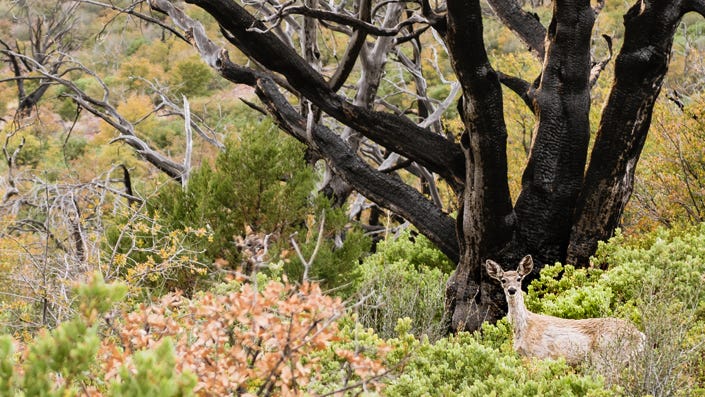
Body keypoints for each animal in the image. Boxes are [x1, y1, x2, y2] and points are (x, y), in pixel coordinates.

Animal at [484, 254, 644, 366]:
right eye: (503, 280)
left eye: (519, 278)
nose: (511, 290)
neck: (523, 328)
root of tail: (640, 335)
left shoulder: (541, 354)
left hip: (607, 356)